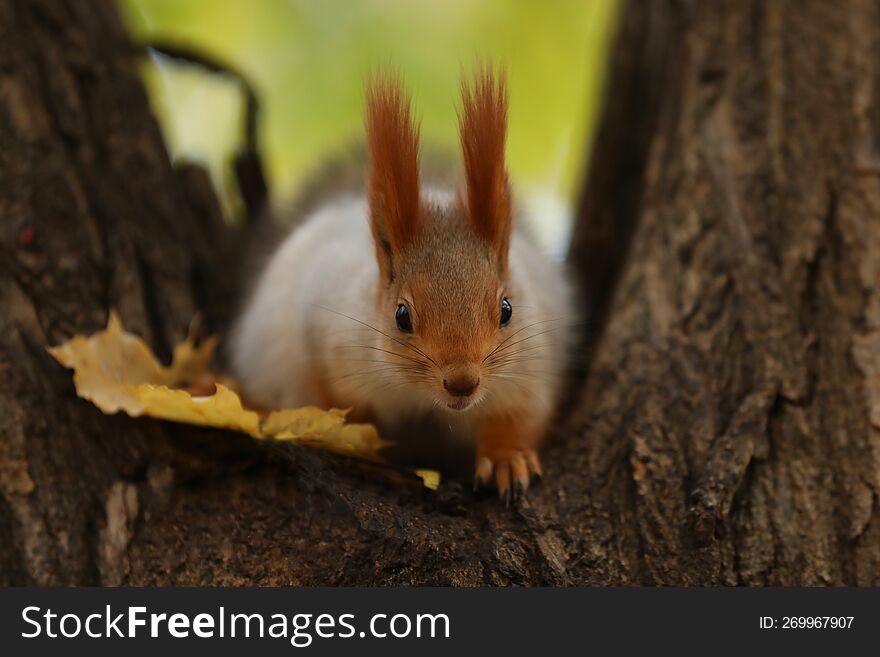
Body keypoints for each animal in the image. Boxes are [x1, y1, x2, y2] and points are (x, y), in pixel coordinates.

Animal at [232, 69, 576, 500]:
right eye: (401, 315)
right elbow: (330, 397)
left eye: (506, 310)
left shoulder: (530, 368)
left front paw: (507, 459)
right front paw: (354, 437)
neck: (425, 400)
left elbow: (519, 417)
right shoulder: (322, 328)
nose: (462, 383)